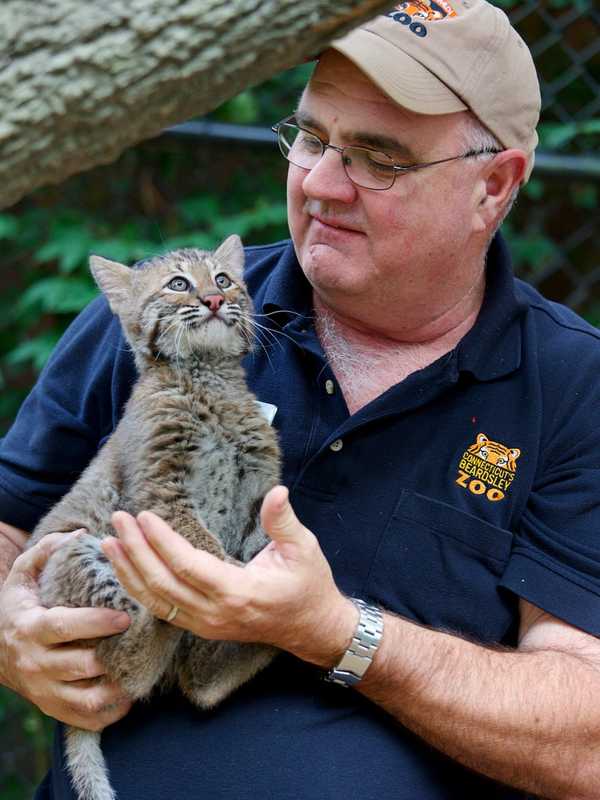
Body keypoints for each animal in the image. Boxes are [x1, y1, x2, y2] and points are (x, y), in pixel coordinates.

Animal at [28, 236, 282, 800]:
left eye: (223, 279)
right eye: (179, 284)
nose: (214, 300)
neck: (208, 374)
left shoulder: (259, 486)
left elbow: (248, 535)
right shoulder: (162, 495)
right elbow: (206, 550)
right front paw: (242, 581)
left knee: (200, 685)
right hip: (81, 550)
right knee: (130, 671)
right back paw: (164, 620)